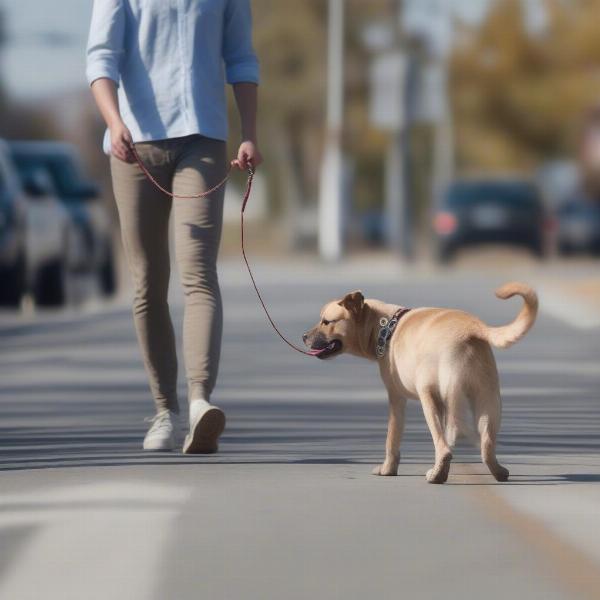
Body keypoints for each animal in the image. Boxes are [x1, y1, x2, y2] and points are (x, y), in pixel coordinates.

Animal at [304, 284, 540, 486]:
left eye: (326, 321)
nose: (304, 336)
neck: (386, 327)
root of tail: (472, 327)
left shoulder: (396, 399)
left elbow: (391, 439)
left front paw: (387, 469)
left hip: (431, 400)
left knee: (445, 448)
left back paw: (437, 475)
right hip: (488, 401)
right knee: (486, 446)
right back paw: (498, 472)